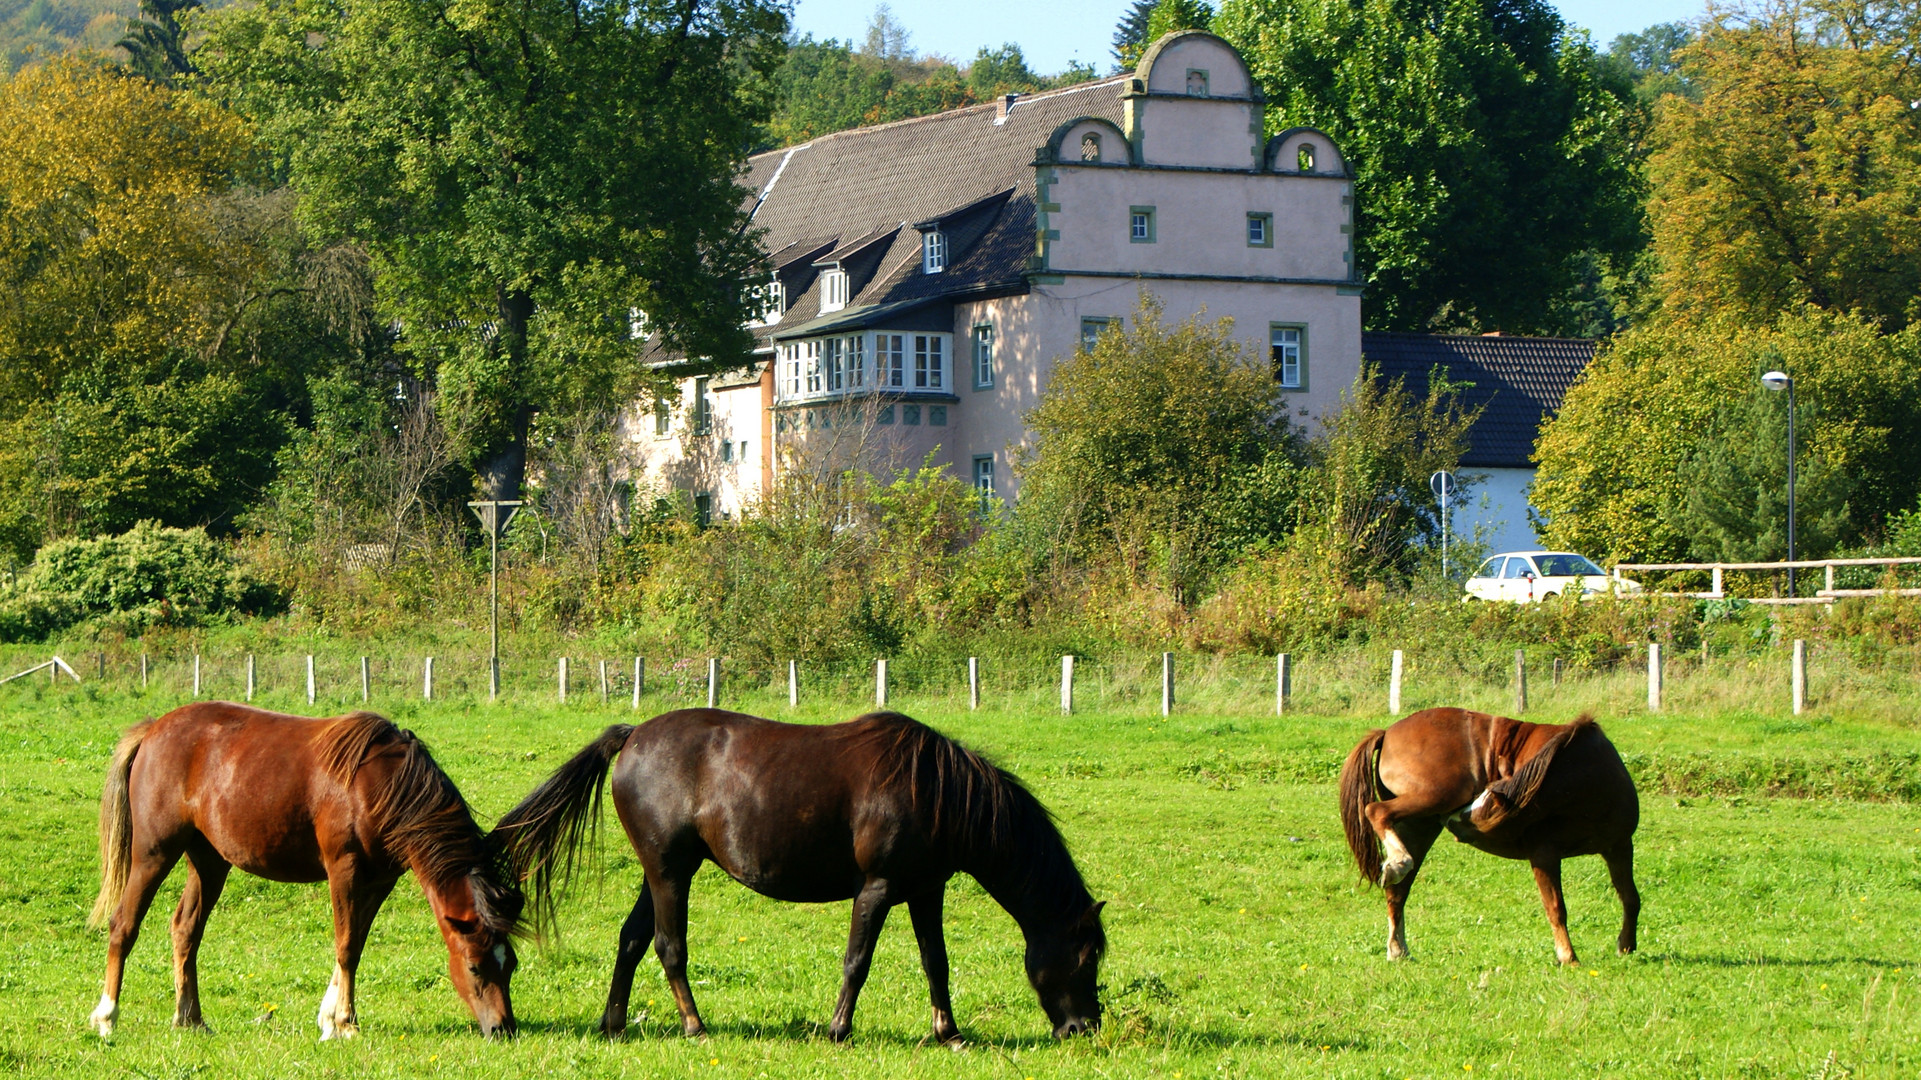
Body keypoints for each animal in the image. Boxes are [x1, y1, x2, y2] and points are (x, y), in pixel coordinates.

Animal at [87, 703, 522, 1037]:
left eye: (511, 965)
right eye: (474, 966)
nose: (503, 1028)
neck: (381, 784)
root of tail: (153, 729)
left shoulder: (380, 881)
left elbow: (356, 944)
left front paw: (330, 1018)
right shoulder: (344, 870)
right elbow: (346, 945)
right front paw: (346, 1022)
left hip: (208, 862)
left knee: (185, 930)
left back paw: (189, 1018)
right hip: (154, 854)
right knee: (123, 924)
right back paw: (106, 1016)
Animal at [495, 707, 1114, 1045]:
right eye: (1085, 958)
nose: (1084, 1028)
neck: (935, 792)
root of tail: (633, 737)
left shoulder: (925, 892)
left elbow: (935, 963)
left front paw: (950, 1034)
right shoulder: (877, 890)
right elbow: (857, 961)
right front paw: (839, 1030)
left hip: (662, 871)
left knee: (630, 940)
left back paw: (614, 1023)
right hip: (669, 871)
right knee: (670, 947)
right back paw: (694, 1026)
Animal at [1337, 703, 1636, 960]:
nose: (1454, 821)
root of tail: (1387, 733)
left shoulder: (1620, 846)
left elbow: (1630, 897)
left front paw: (1626, 946)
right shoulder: (1544, 853)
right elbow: (1556, 907)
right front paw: (1569, 956)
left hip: (1420, 824)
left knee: (1398, 891)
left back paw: (1398, 947)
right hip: (1436, 797)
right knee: (1377, 812)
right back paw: (1398, 862)